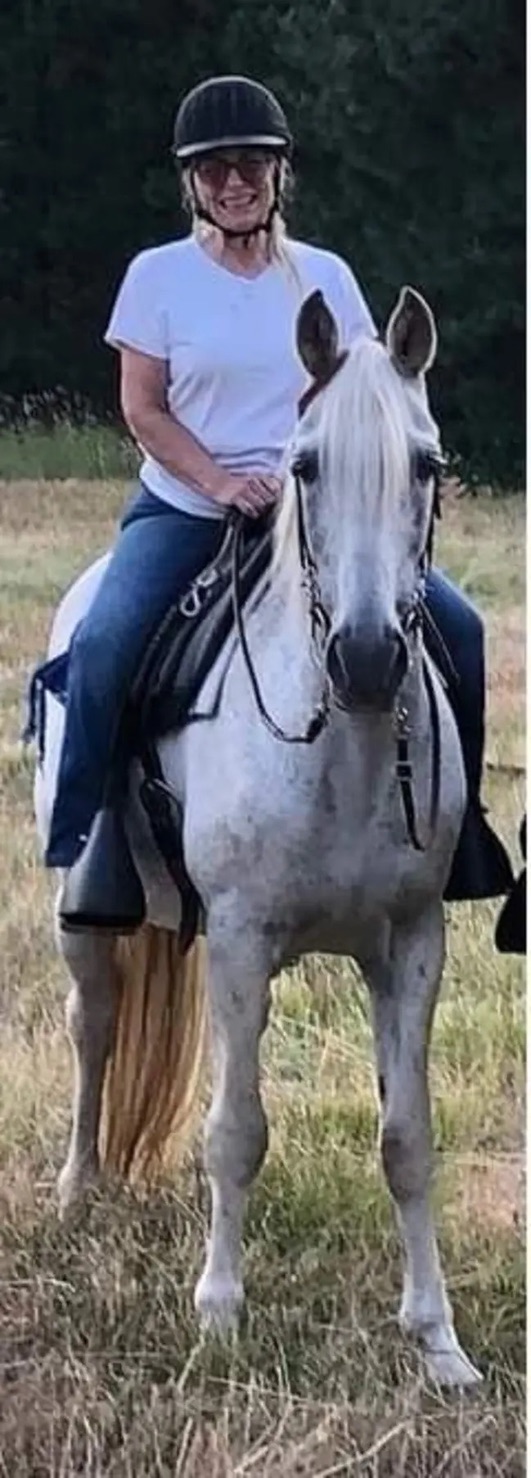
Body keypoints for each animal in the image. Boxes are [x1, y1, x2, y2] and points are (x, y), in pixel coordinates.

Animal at [33, 285, 482, 1387]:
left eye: (424, 463)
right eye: (305, 465)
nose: (365, 657)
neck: (345, 743)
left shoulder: (414, 942)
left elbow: (407, 1136)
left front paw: (437, 1338)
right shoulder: (239, 939)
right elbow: (234, 1130)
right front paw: (219, 1316)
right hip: (80, 916)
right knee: (93, 1027)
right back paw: (77, 1187)